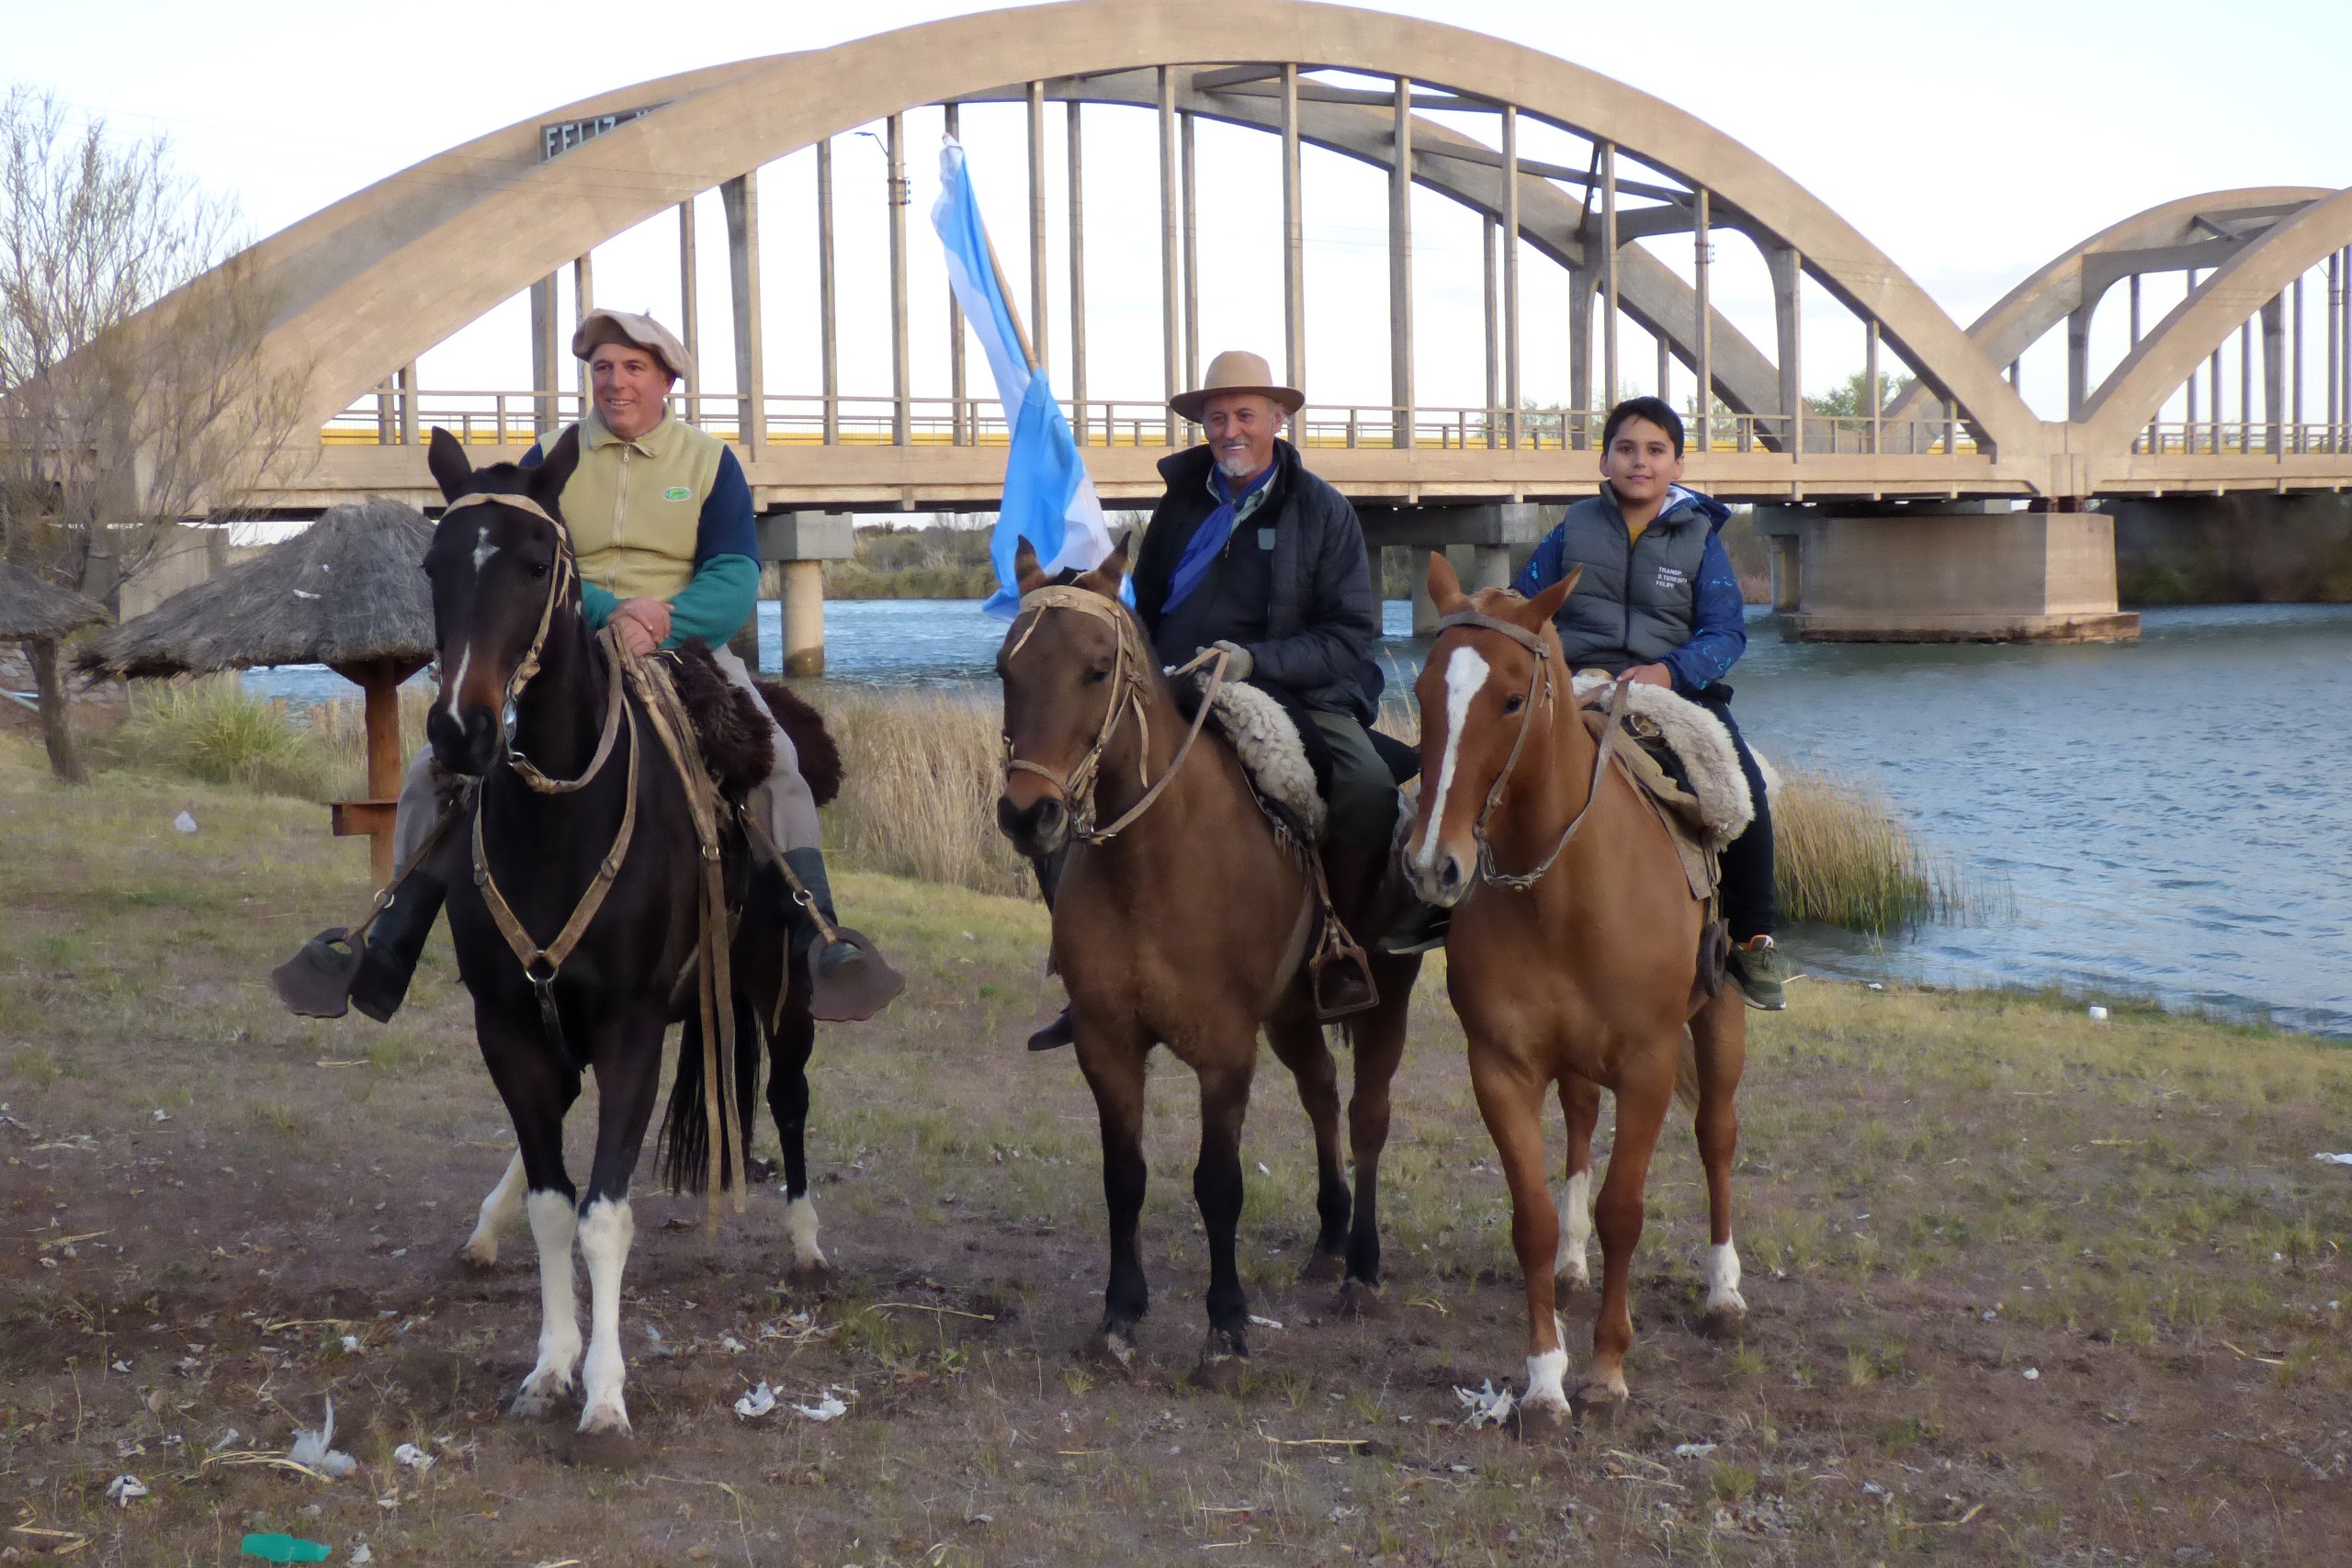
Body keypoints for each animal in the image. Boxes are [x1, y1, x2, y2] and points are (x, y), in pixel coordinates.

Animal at [418, 425, 823, 1438]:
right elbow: (555, 1206)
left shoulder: (631, 1027)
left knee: (790, 1096)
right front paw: (550, 1366)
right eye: (433, 563)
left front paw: (604, 1392)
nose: (461, 729)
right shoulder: (509, 1029)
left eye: (535, 564)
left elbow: (606, 1213)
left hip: (782, 992)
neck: (559, 825)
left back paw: (806, 1240)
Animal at [988, 540, 1411, 1372]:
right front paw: (1120, 1314)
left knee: (1366, 1116)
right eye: (1004, 669)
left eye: (1096, 669)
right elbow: (1124, 1177)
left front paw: (1227, 1324)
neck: (1154, 865)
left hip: (1385, 1002)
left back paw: (1364, 1265)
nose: (1029, 814)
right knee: (1320, 1092)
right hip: (1290, 1015)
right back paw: (1329, 1236)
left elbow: (1219, 1184)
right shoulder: (1108, 1043)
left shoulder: (1224, 1053)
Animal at [1392, 554, 1749, 1419]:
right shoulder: (1501, 1067)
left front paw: (1607, 1367)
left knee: (1717, 1135)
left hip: (1719, 1018)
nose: (1433, 864)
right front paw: (1545, 1377)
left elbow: (1626, 1208)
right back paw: (1573, 1266)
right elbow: (1532, 1216)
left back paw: (1723, 1288)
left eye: (1512, 697)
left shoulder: (1650, 1065)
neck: (1562, 892)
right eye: (1422, 690)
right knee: (1583, 1120)